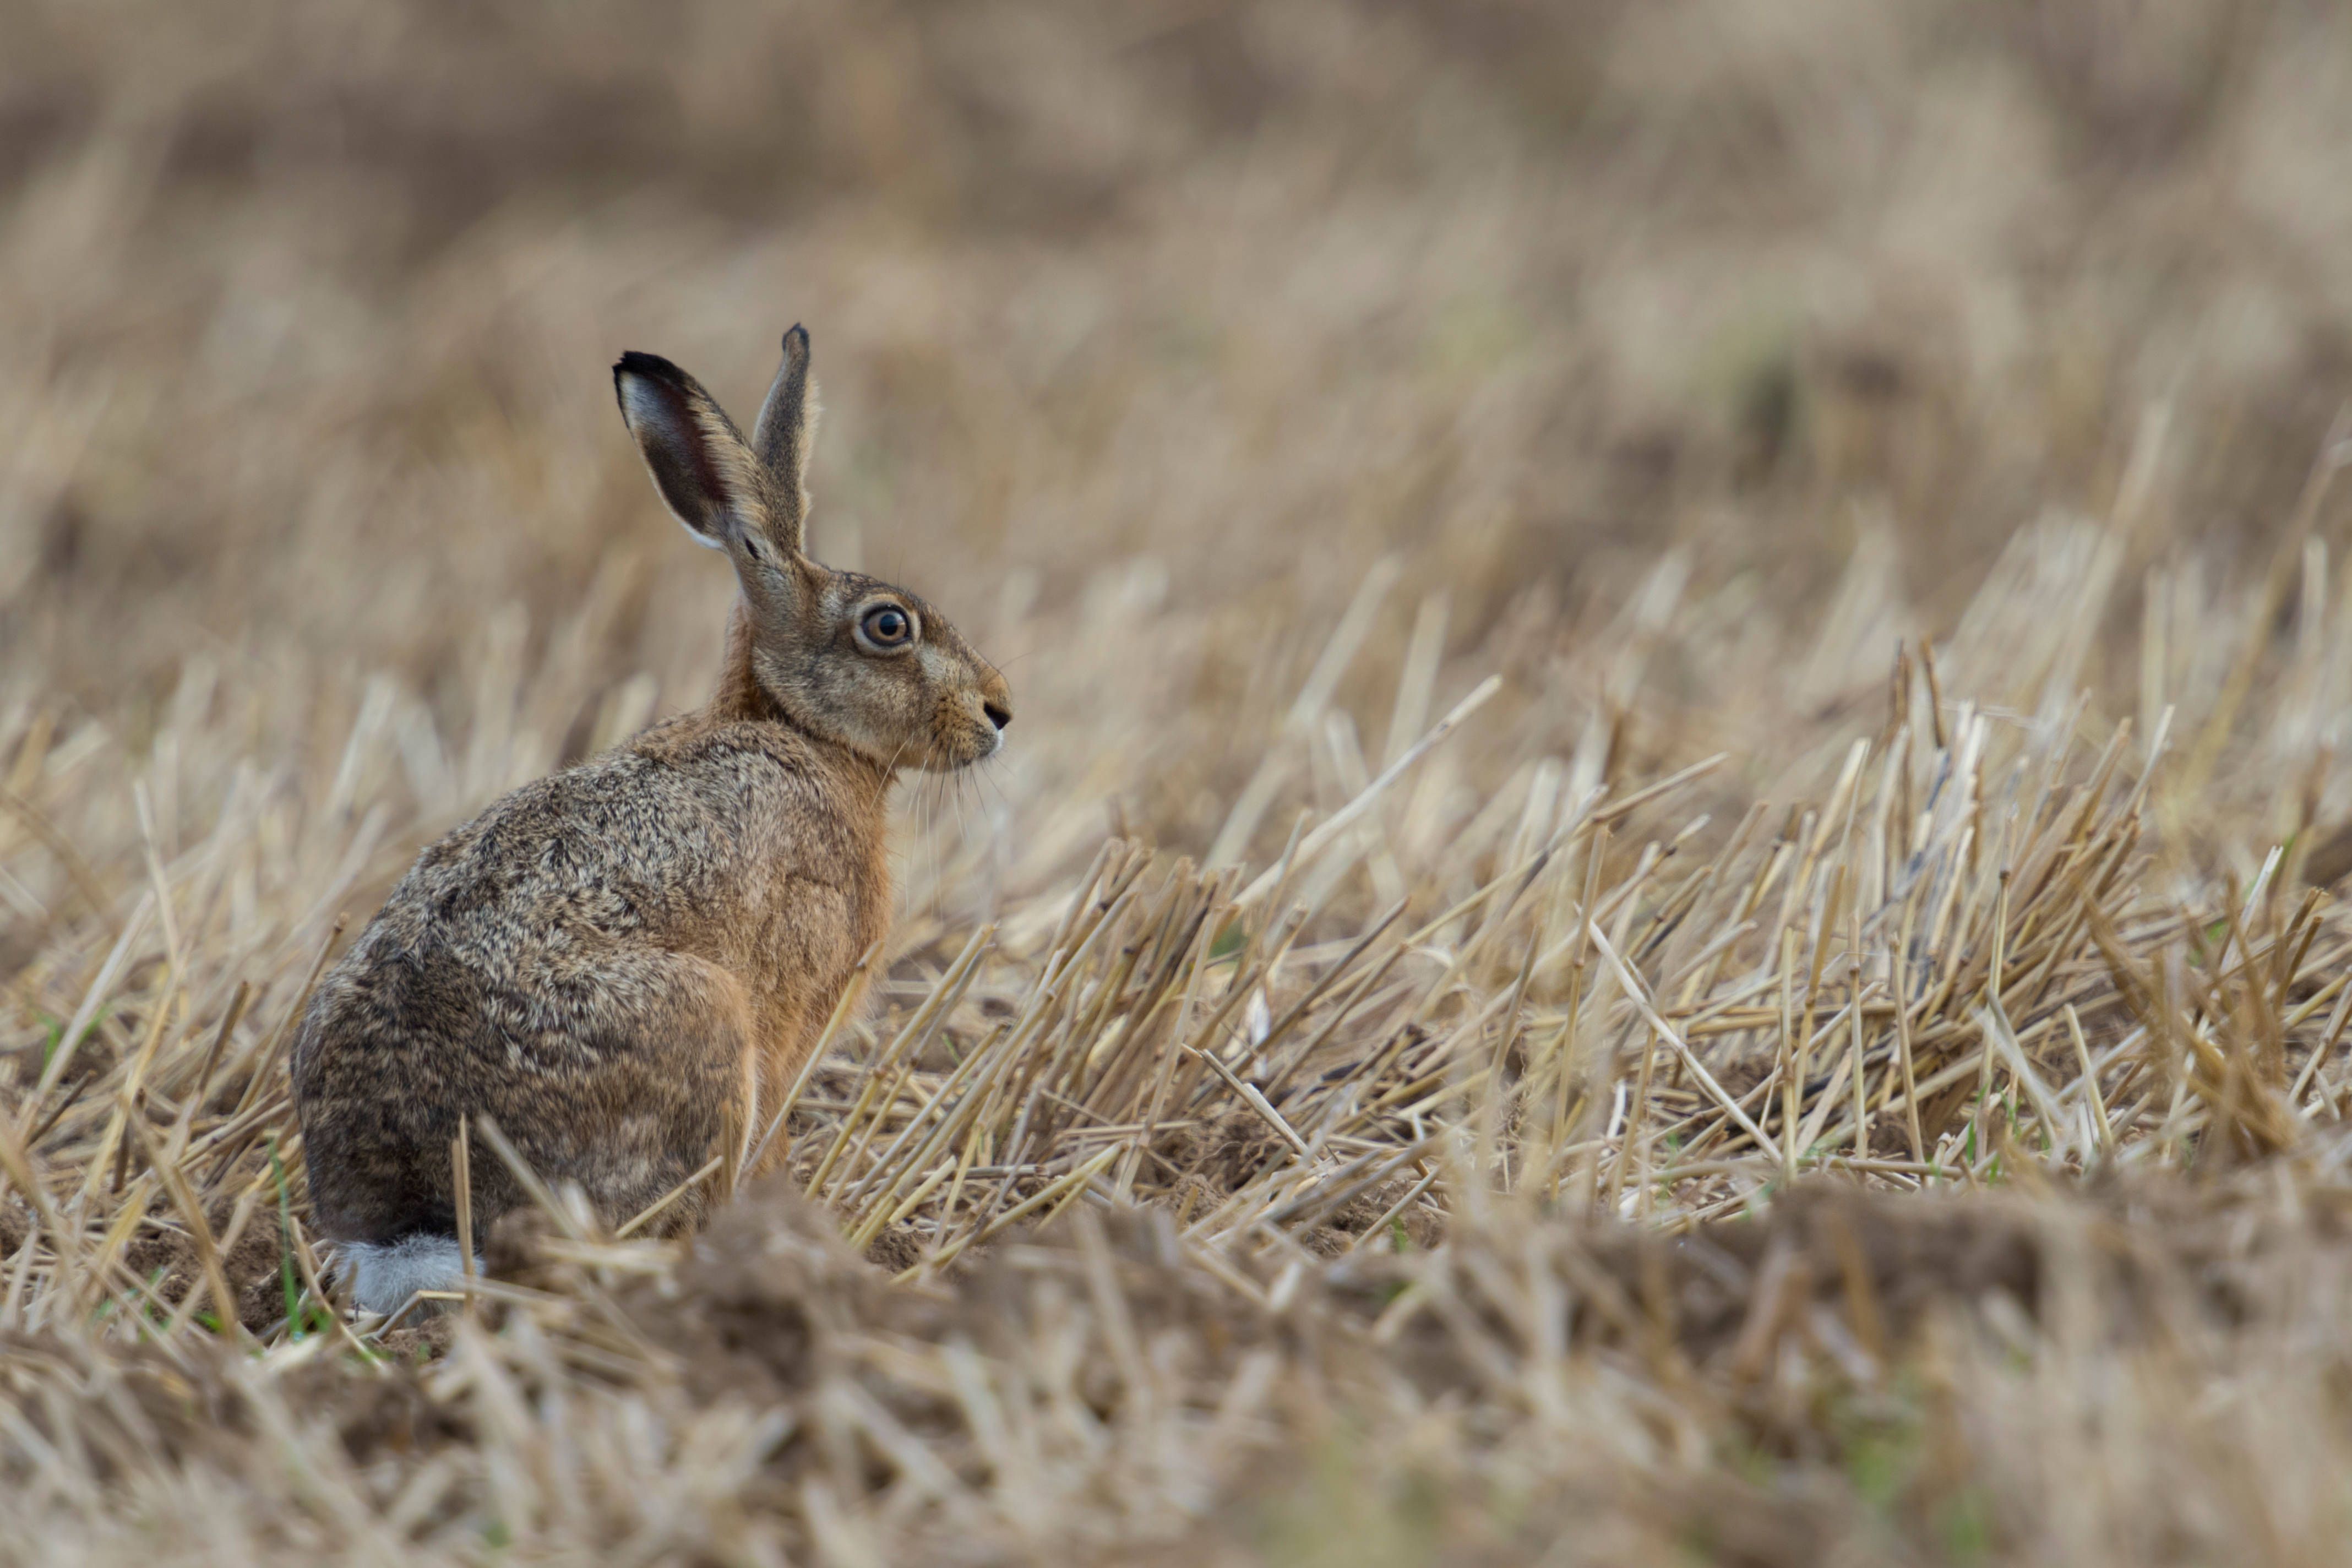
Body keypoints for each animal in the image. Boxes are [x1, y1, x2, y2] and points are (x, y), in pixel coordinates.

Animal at [291, 326, 1012, 1314]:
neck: (795, 726)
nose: (1000, 711)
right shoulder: (788, 1020)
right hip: (705, 1026)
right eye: (889, 626)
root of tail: (415, 1219)